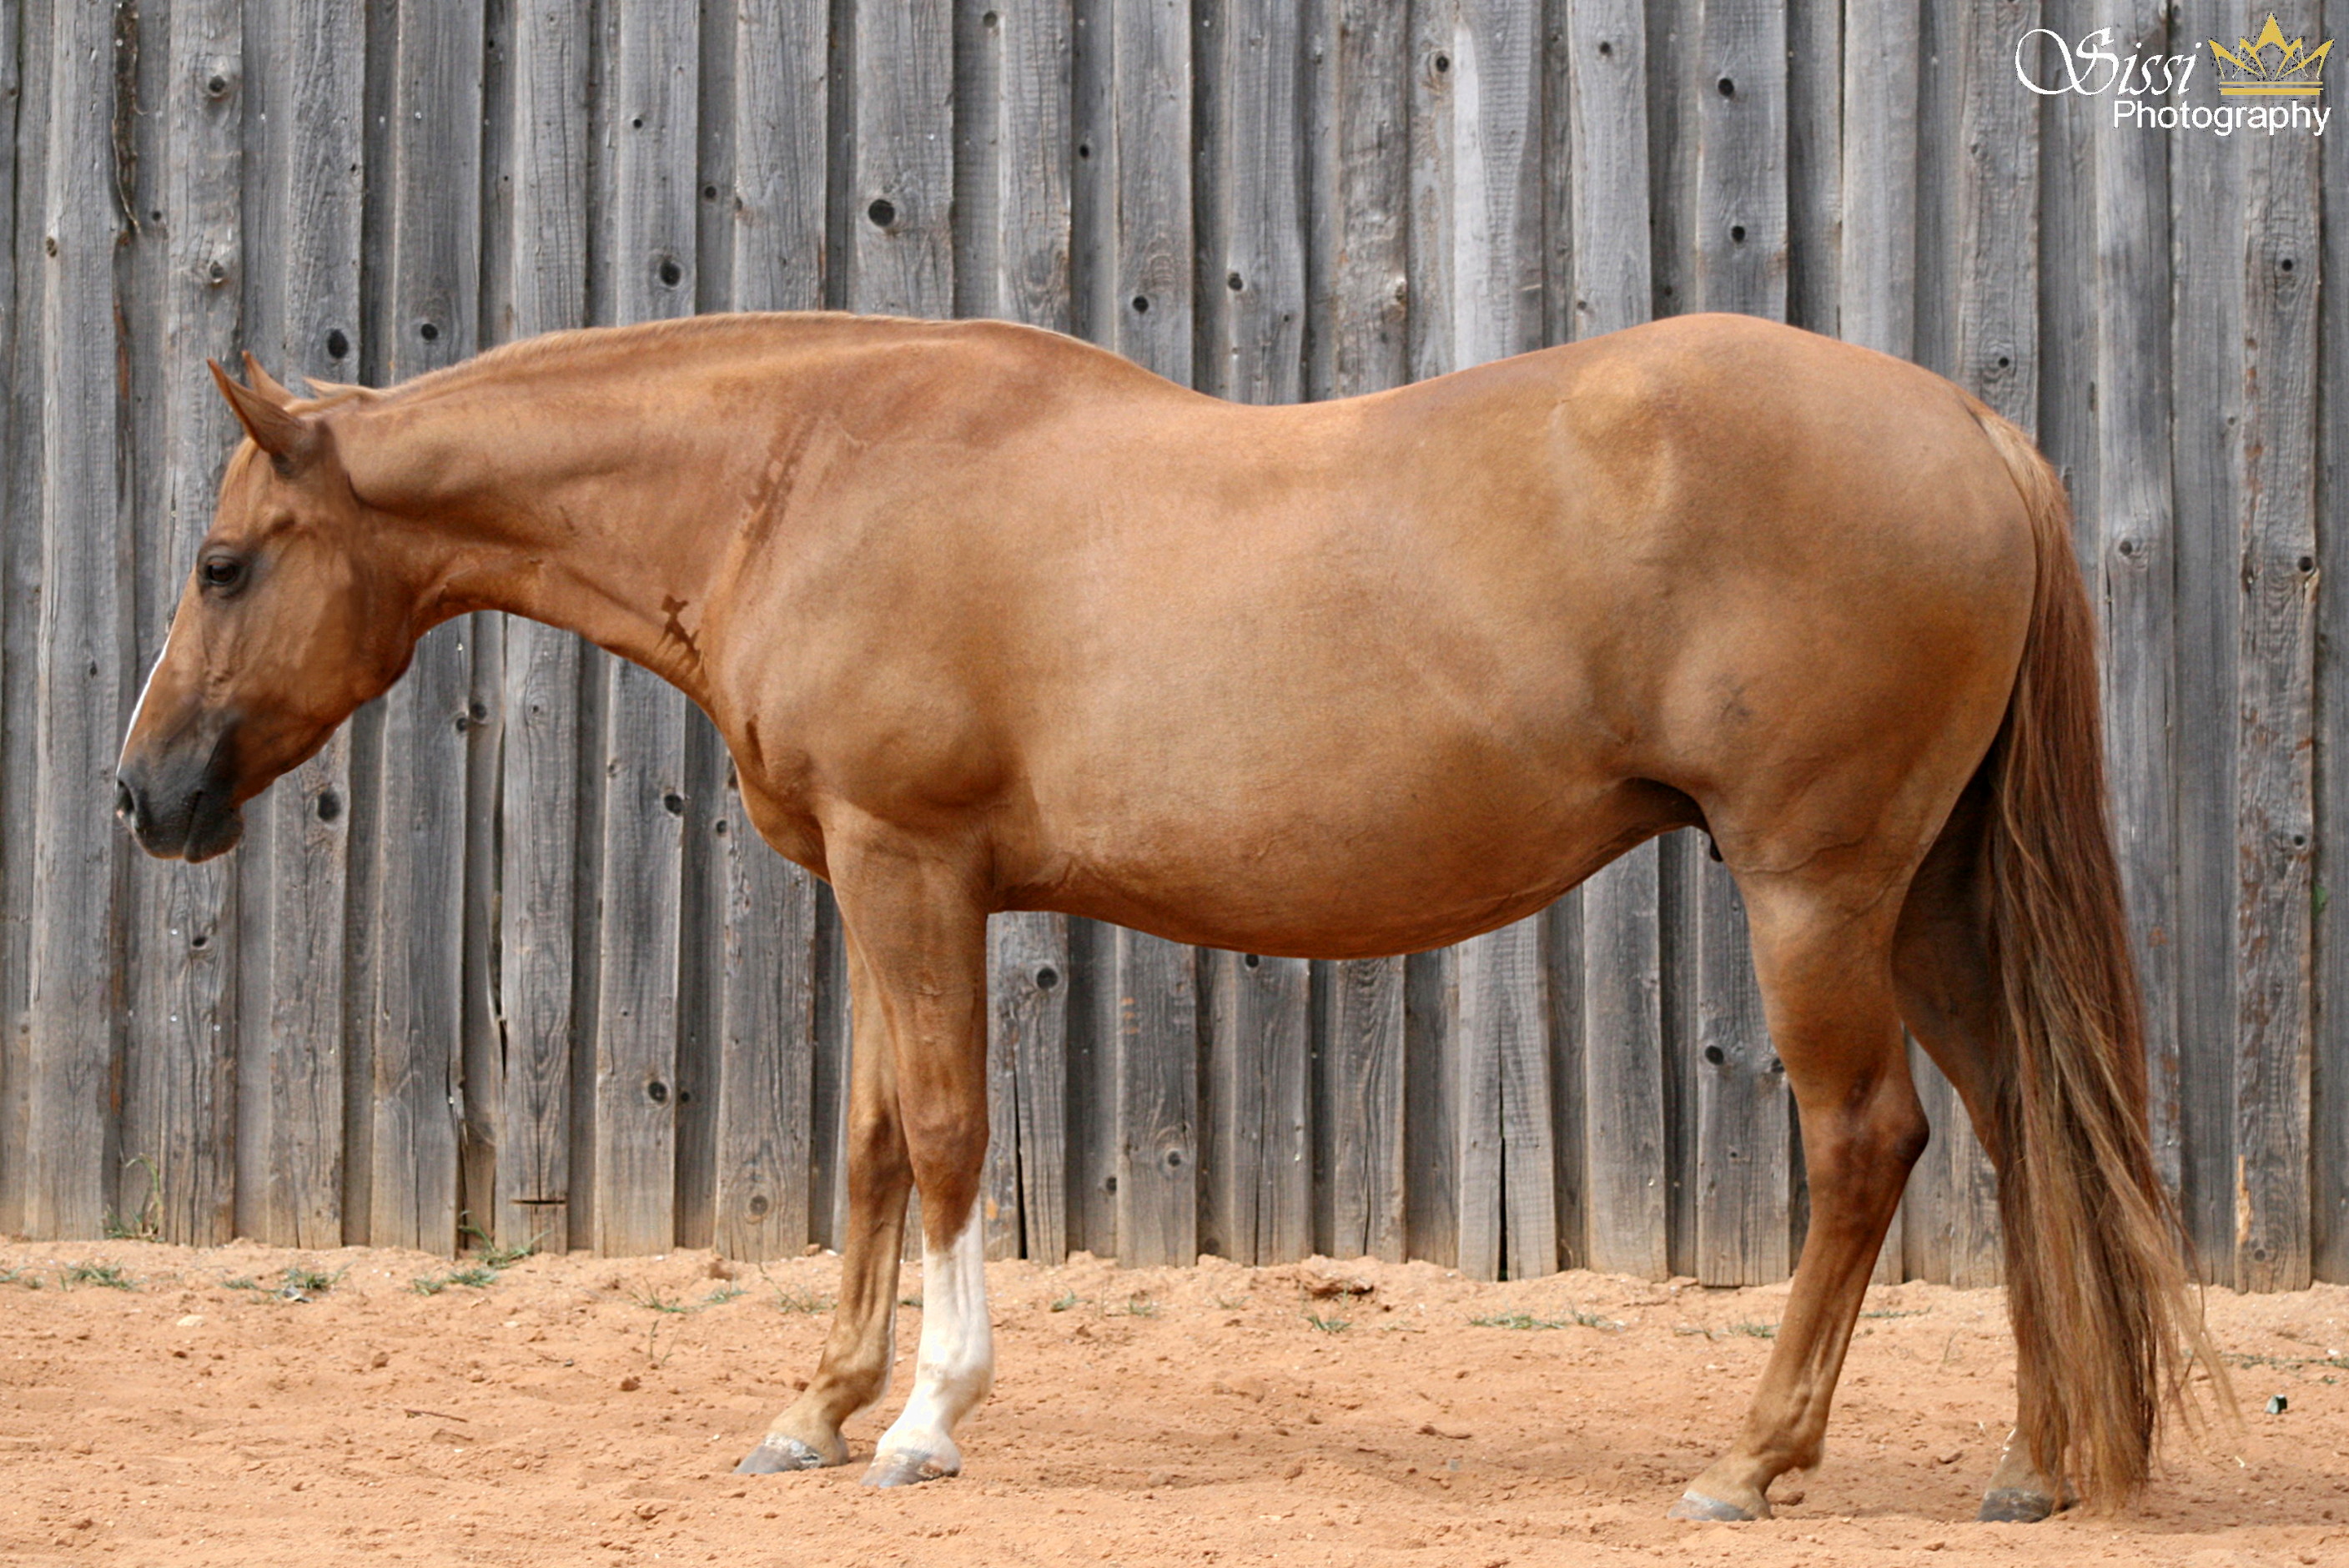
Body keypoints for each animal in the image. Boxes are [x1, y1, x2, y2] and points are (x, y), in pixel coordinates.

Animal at [115, 309, 2213, 1521]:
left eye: (224, 563)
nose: (145, 798)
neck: (802, 470)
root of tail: (1971, 434)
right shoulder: (883, 872)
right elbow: (873, 1146)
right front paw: (815, 1407)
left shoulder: (911, 859)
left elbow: (945, 1134)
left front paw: (923, 1419)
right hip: (1926, 900)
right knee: (2024, 1129)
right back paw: (2032, 1463)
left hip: (1813, 891)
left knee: (1867, 1145)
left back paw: (1752, 1456)